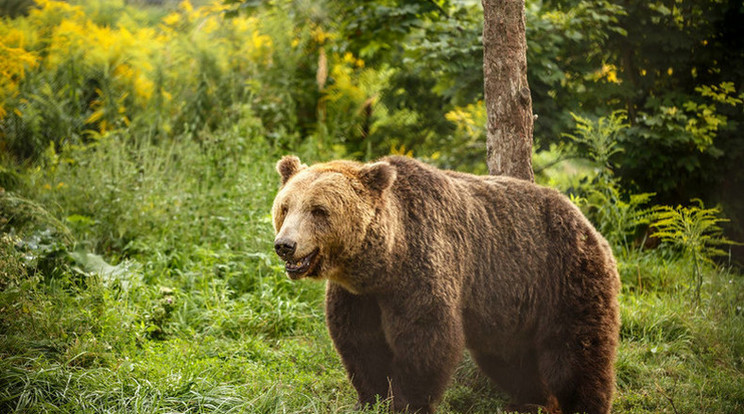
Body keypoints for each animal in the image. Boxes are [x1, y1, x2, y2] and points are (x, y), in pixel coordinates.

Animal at [270, 156, 620, 414]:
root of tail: (587, 222)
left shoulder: (420, 269)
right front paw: (372, 399)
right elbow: (361, 344)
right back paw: (533, 401)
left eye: (319, 210)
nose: (285, 245)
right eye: (285, 207)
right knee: (512, 362)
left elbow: (426, 340)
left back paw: (582, 403)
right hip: (510, 308)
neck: (384, 261)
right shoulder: (358, 296)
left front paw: (407, 402)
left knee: (575, 355)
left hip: (563, 278)